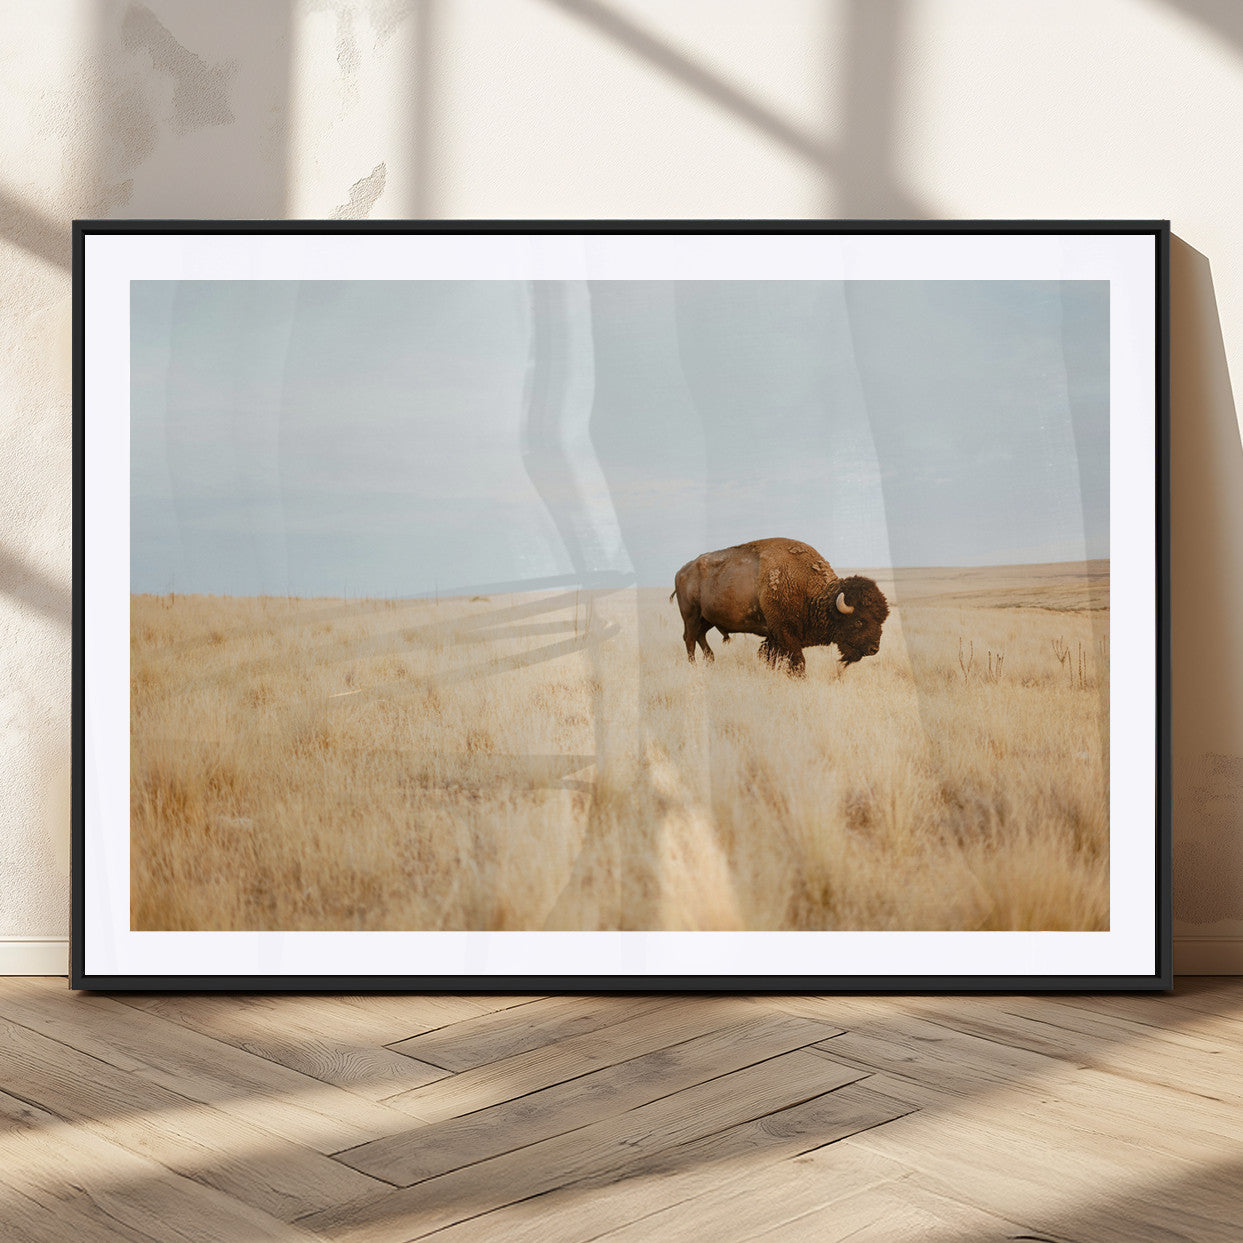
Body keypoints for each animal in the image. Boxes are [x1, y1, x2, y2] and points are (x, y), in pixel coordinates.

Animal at [671, 538, 889, 676]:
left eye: (881, 620)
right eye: (859, 620)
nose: (874, 648)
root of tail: (681, 571)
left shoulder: (775, 637)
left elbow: (771, 658)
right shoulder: (785, 633)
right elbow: (797, 661)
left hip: (706, 619)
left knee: (700, 637)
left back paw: (710, 661)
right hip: (691, 615)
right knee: (690, 639)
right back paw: (694, 666)